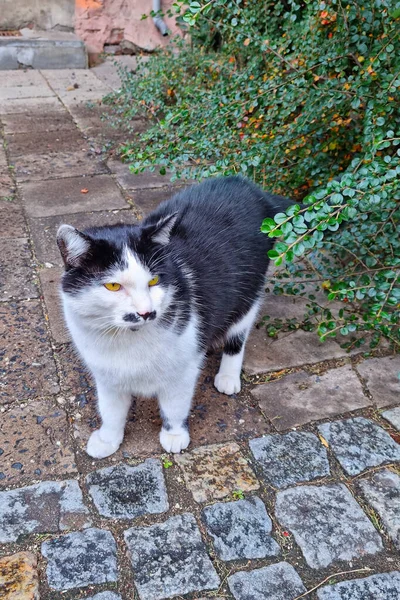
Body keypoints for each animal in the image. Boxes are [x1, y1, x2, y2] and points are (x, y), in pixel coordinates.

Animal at [57, 176, 290, 458]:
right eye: (113, 286)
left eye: (154, 281)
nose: (146, 312)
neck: (128, 342)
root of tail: (248, 186)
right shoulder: (106, 375)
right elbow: (111, 410)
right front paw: (107, 439)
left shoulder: (183, 370)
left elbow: (174, 405)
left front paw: (175, 435)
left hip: (249, 291)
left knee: (238, 334)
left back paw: (228, 376)